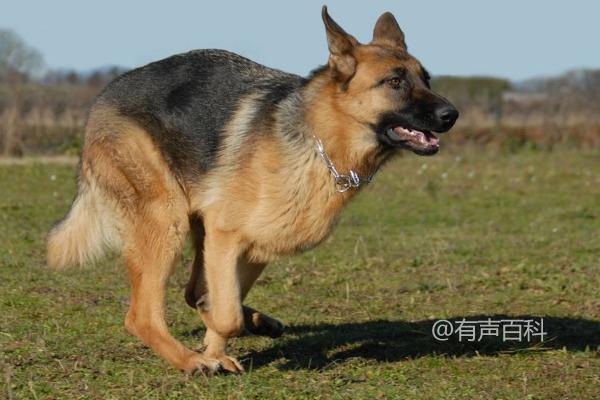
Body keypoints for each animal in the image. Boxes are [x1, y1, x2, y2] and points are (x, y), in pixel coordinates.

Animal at [48, 6, 460, 374]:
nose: (451, 115)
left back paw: (248, 327)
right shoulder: (225, 235)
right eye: (394, 82)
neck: (320, 140)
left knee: (192, 291)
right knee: (142, 316)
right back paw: (193, 361)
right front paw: (215, 344)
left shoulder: (254, 245)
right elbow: (226, 314)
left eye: (426, 78)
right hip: (166, 220)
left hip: (193, 227)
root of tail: (100, 100)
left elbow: (221, 303)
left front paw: (226, 340)